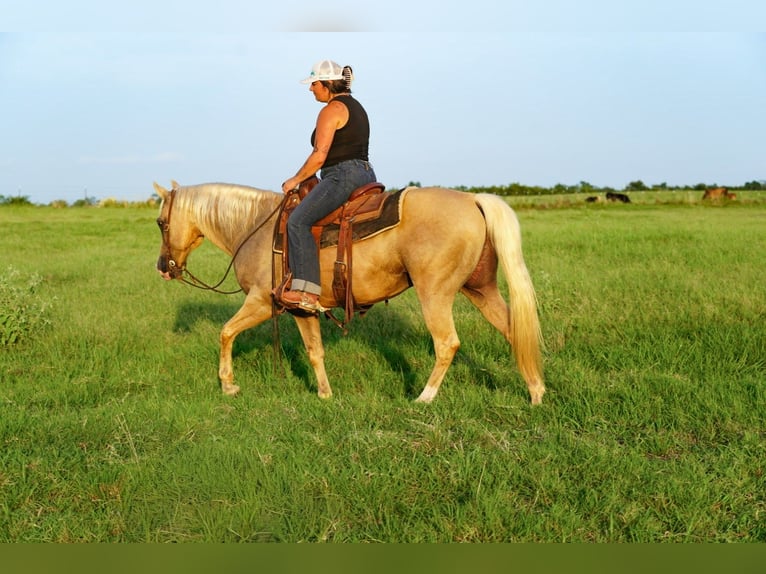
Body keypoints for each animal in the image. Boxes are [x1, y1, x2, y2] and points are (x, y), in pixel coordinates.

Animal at [153, 181, 545, 405]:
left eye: (160, 222)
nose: (163, 267)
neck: (254, 226)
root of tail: (472, 200)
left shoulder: (263, 302)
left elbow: (226, 333)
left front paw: (229, 386)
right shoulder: (302, 309)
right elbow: (315, 352)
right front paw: (325, 395)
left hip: (435, 294)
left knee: (447, 343)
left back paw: (424, 398)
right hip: (480, 289)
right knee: (514, 332)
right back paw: (536, 393)